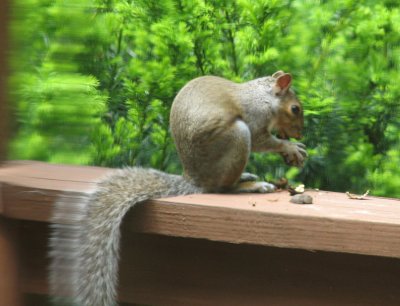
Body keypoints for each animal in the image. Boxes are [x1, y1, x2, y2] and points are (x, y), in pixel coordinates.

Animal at [48, 70, 304, 306]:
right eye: (295, 109)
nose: (300, 134)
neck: (264, 96)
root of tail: (195, 179)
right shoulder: (255, 118)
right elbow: (263, 141)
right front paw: (290, 147)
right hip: (238, 137)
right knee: (223, 188)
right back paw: (251, 185)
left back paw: (247, 176)